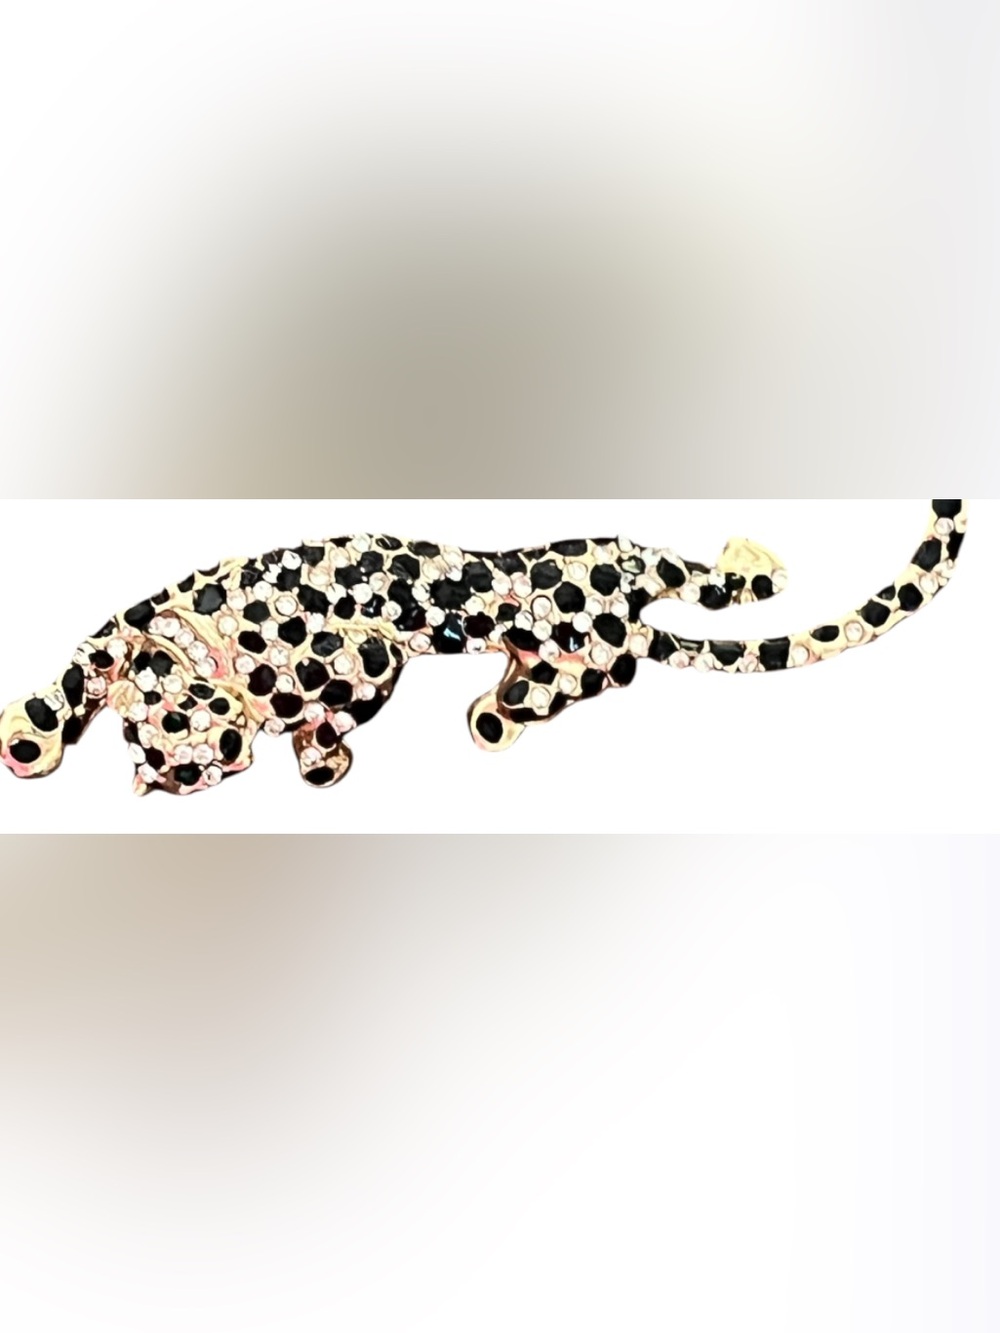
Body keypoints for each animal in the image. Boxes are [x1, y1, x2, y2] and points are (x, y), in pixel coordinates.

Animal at [0, 501, 967, 795]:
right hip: (582, 668)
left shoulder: (361, 652)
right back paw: (496, 714)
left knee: (718, 583)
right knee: (538, 692)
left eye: (183, 717)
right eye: (185, 771)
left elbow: (63, 687)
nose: (227, 745)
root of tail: (626, 622)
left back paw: (751, 556)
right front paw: (321, 759)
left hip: (621, 559)